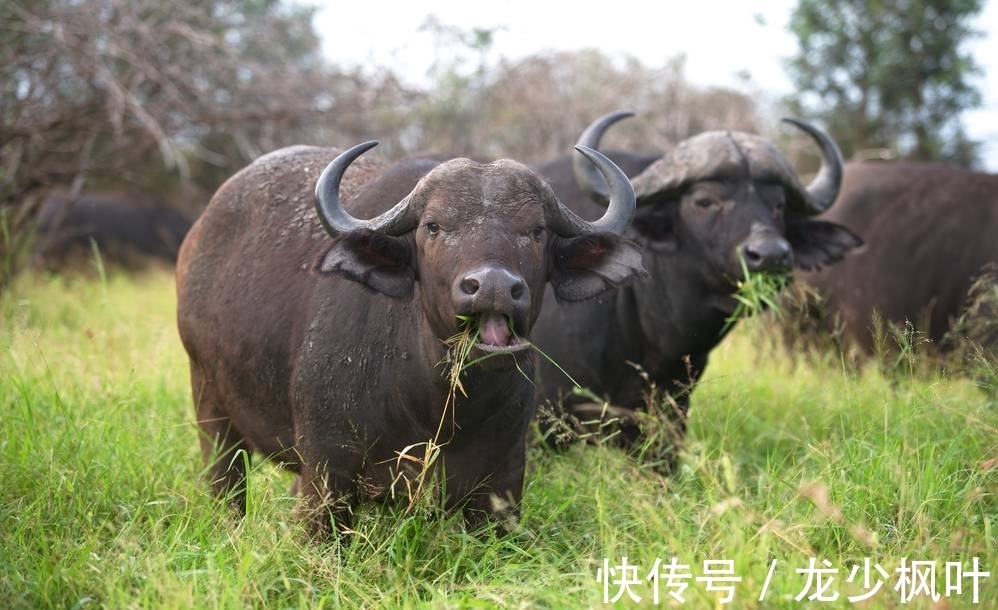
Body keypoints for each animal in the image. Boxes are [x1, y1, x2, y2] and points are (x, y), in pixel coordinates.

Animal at [176, 140, 644, 536]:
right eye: (433, 226)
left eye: (537, 230)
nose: (492, 286)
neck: (437, 409)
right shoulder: (326, 478)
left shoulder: (504, 487)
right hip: (210, 409)